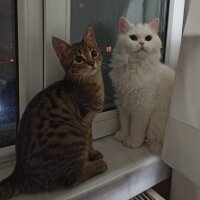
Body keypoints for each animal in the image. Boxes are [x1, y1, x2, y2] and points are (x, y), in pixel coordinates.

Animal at [0, 25, 107, 199]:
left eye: (94, 53)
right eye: (79, 59)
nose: (92, 63)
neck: (91, 82)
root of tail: (20, 174)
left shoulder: (89, 121)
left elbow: (91, 138)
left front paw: (92, 154)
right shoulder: (85, 119)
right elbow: (89, 139)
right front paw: (92, 156)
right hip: (74, 138)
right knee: (70, 180)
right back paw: (97, 166)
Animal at [109, 17, 175, 155]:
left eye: (148, 38)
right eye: (133, 38)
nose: (141, 43)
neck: (135, 67)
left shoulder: (142, 106)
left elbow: (136, 129)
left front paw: (132, 142)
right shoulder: (122, 101)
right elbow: (125, 124)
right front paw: (122, 136)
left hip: (158, 122)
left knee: (160, 141)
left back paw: (155, 147)